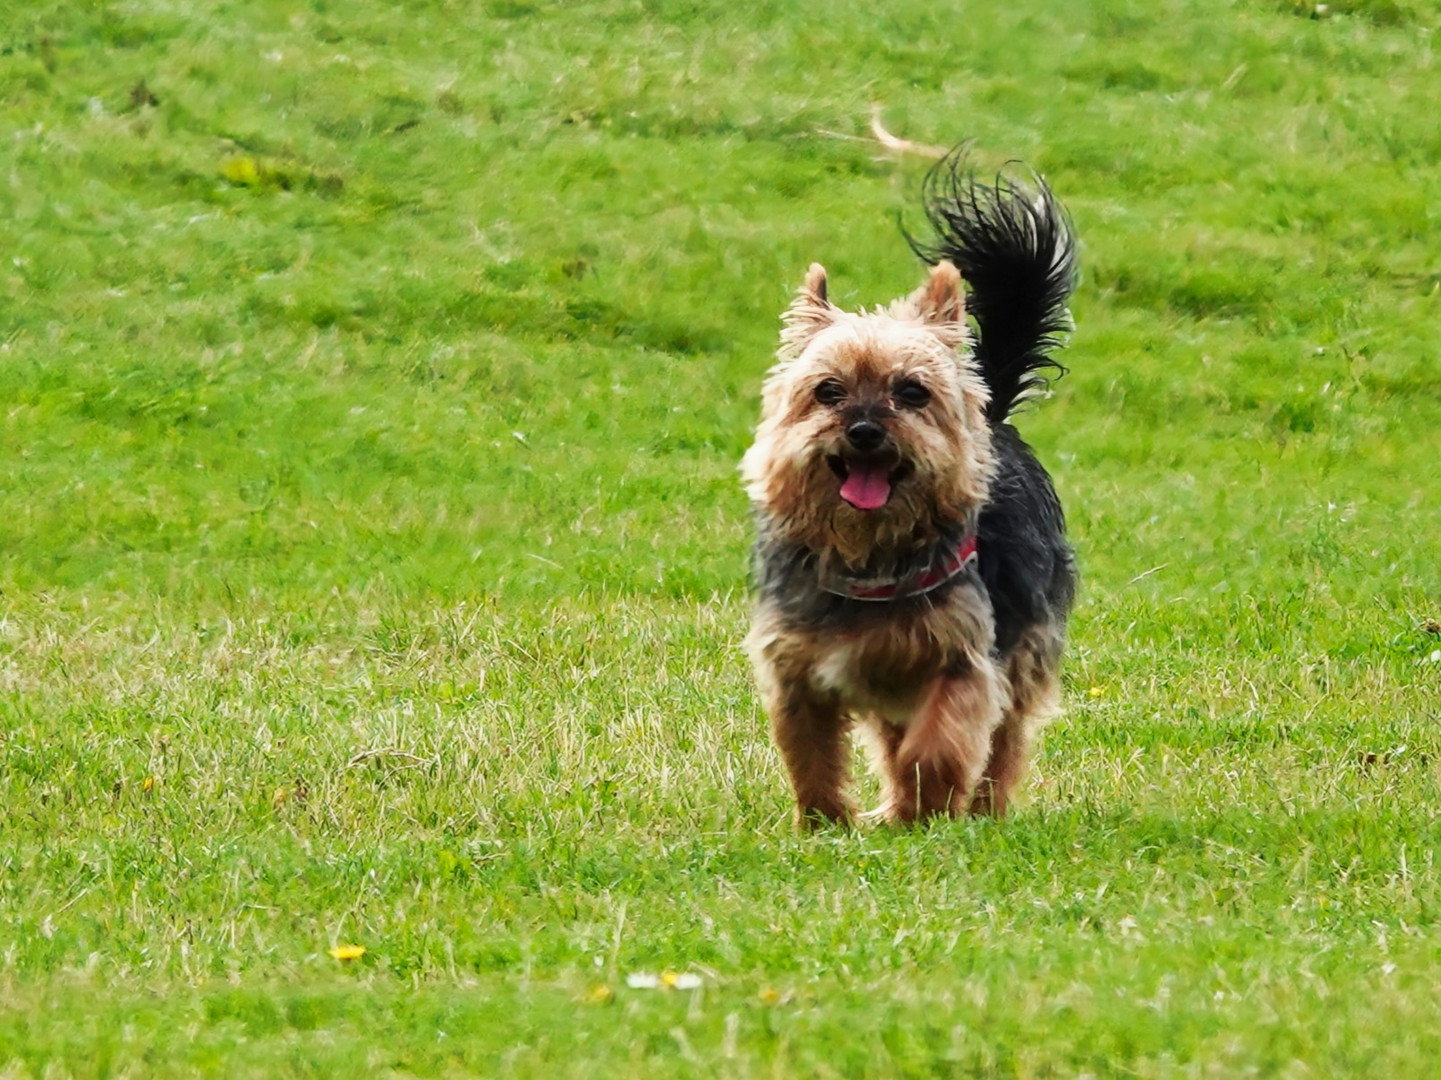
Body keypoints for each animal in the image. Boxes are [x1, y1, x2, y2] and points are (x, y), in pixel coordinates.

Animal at [743, 149, 1083, 824]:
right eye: (828, 391)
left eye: (912, 392)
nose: (865, 430)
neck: (868, 550)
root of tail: (993, 417)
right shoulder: (796, 667)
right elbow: (810, 754)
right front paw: (822, 824)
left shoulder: (960, 660)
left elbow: (939, 746)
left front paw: (927, 812)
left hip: (1026, 644)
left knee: (1006, 739)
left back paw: (981, 810)